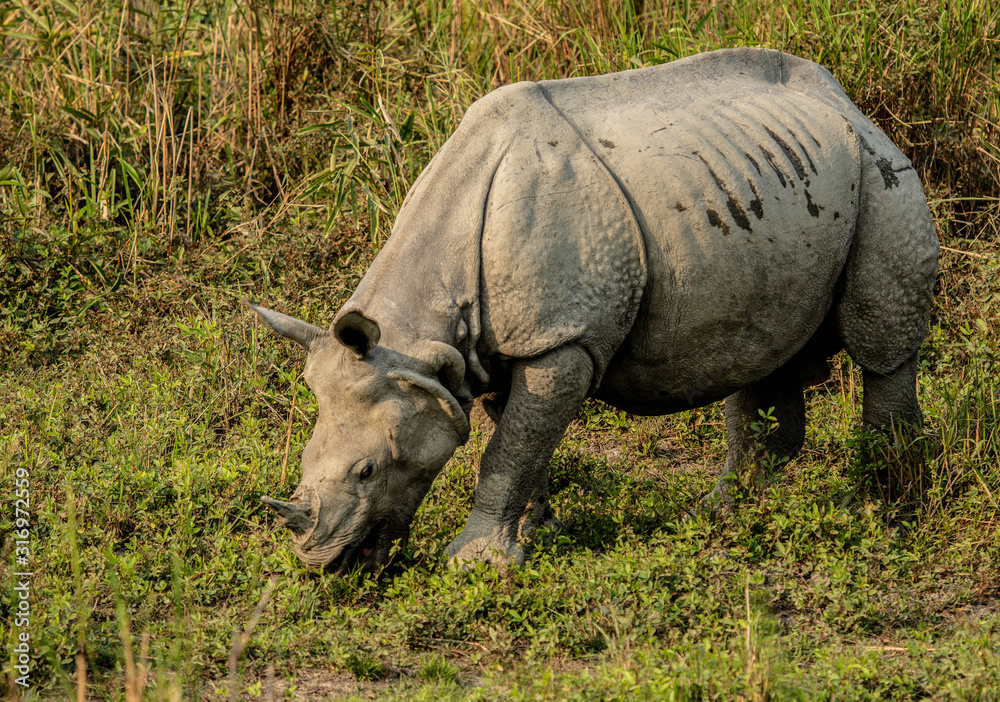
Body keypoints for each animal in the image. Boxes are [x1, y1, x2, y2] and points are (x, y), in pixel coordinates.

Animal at [247, 47, 938, 573]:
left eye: (367, 471)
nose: (324, 564)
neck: (422, 340)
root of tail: (843, 98)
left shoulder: (562, 338)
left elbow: (509, 447)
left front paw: (475, 565)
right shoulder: (506, 345)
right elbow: (520, 441)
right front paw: (533, 537)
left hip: (882, 174)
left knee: (881, 346)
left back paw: (880, 507)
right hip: (774, 183)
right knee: (759, 349)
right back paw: (725, 513)